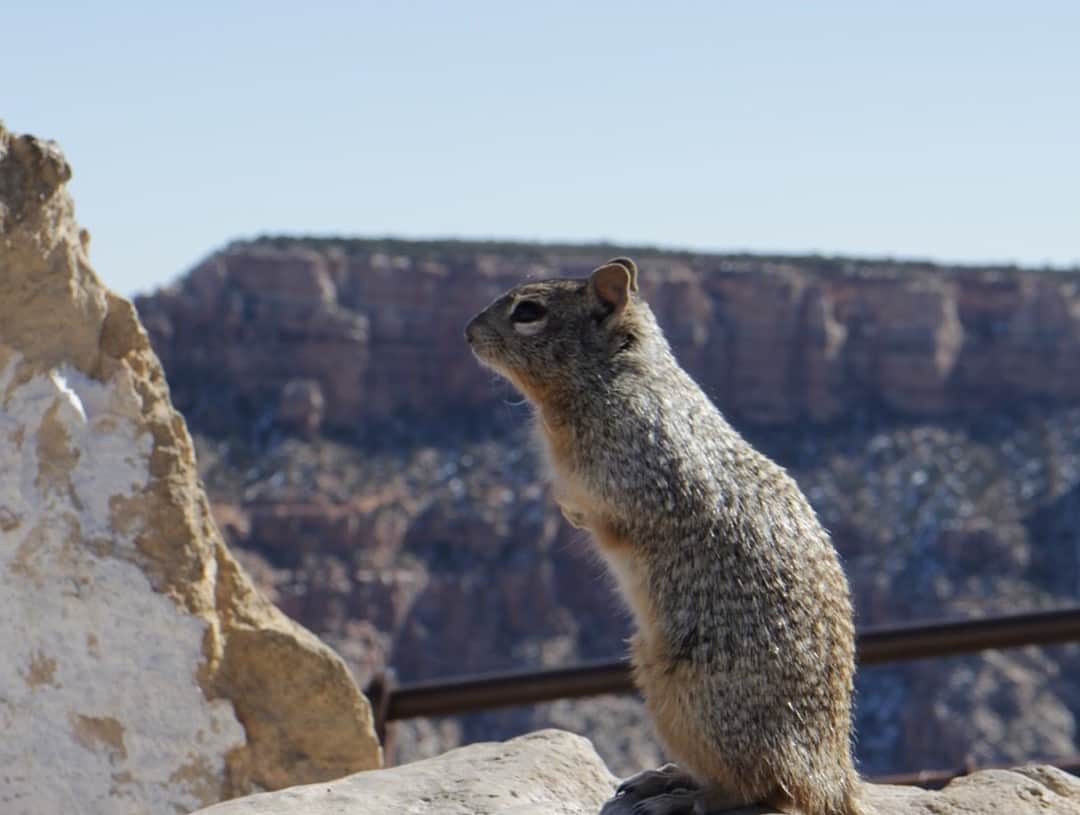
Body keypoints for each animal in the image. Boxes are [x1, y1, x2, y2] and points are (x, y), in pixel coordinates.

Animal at [464, 260, 859, 815]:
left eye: (528, 311)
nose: (467, 331)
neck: (613, 376)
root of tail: (831, 775)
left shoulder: (632, 471)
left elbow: (605, 513)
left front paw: (575, 515)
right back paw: (664, 777)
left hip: (688, 698)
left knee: (758, 790)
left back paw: (676, 796)